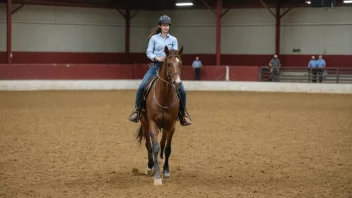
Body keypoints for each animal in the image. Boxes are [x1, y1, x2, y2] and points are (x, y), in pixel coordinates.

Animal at [135, 44, 184, 186]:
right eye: (169, 64)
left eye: (181, 63)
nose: (177, 83)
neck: (164, 97)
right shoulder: (153, 123)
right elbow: (155, 147)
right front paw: (157, 176)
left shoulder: (171, 125)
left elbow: (167, 148)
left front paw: (166, 172)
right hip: (145, 123)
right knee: (149, 145)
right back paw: (150, 167)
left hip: (165, 126)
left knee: (162, 143)